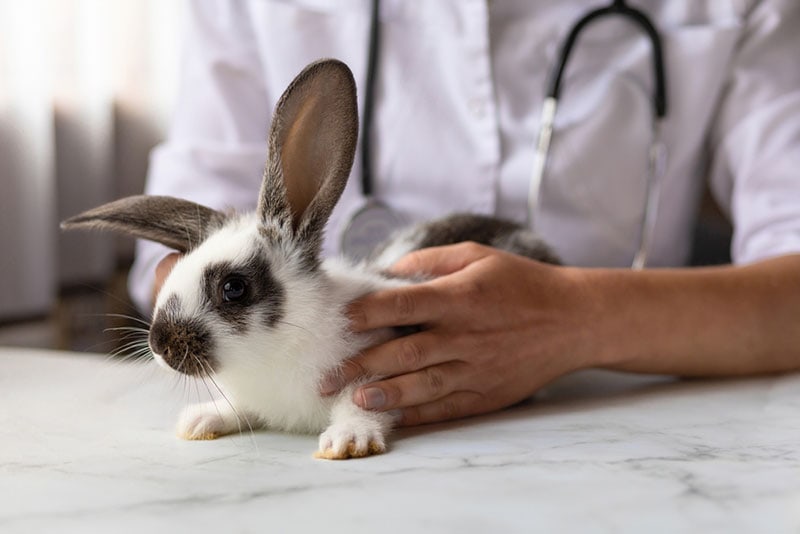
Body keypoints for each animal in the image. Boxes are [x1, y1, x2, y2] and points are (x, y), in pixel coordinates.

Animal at [62, 59, 559, 460]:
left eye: (234, 288)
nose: (160, 343)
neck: (275, 351)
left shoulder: (376, 368)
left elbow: (361, 402)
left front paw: (348, 441)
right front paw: (200, 420)